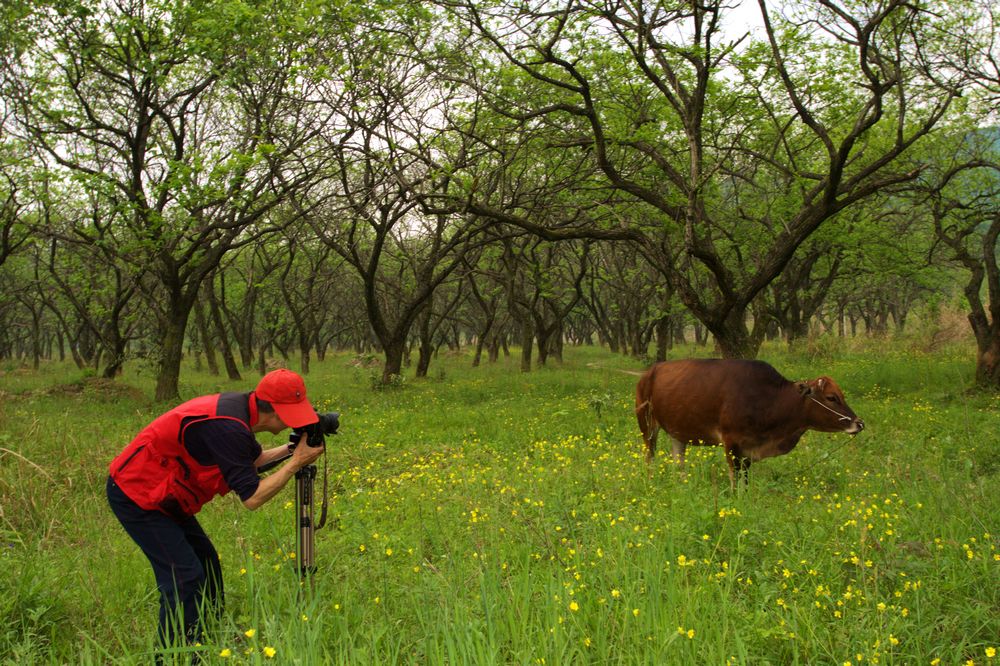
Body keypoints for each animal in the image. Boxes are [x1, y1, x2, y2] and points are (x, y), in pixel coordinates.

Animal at [636, 358, 864, 482]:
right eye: (831, 397)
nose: (859, 423)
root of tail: (650, 371)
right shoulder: (731, 443)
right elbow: (735, 480)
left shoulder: (748, 450)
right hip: (647, 425)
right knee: (650, 457)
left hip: (677, 432)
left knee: (678, 462)